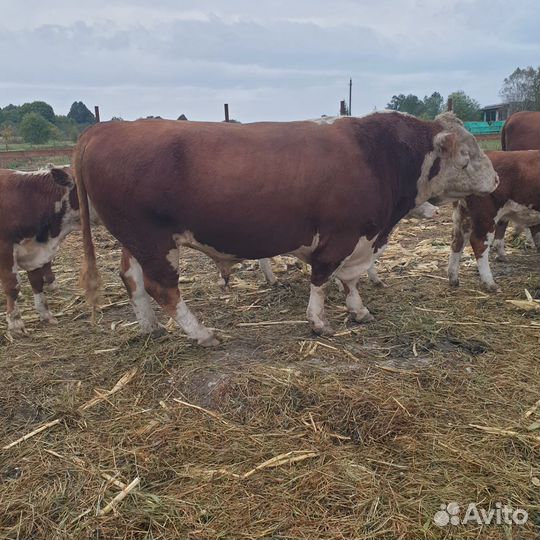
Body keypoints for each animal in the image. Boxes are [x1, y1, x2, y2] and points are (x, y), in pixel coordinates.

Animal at [0, 167, 80, 334]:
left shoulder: (35, 254)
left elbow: (37, 282)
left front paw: (45, 314)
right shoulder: (4, 248)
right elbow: (12, 284)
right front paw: (15, 322)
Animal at [75, 113, 498, 346]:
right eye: (465, 157)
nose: (495, 180)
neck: (379, 154)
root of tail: (103, 130)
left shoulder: (361, 239)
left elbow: (350, 282)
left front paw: (358, 310)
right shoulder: (341, 235)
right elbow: (323, 278)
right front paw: (319, 321)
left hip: (135, 240)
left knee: (131, 278)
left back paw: (149, 327)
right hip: (154, 239)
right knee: (163, 288)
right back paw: (201, 334)